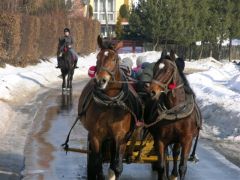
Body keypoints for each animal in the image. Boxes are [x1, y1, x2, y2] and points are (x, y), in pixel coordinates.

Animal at [78, 35, 142, 179]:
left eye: (114, 59)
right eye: (98, 57)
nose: (100, 81)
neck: (110, 104)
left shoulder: (121, 136)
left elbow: (117, 166)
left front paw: (113, 173)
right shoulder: (96, 136)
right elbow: (97, 164)